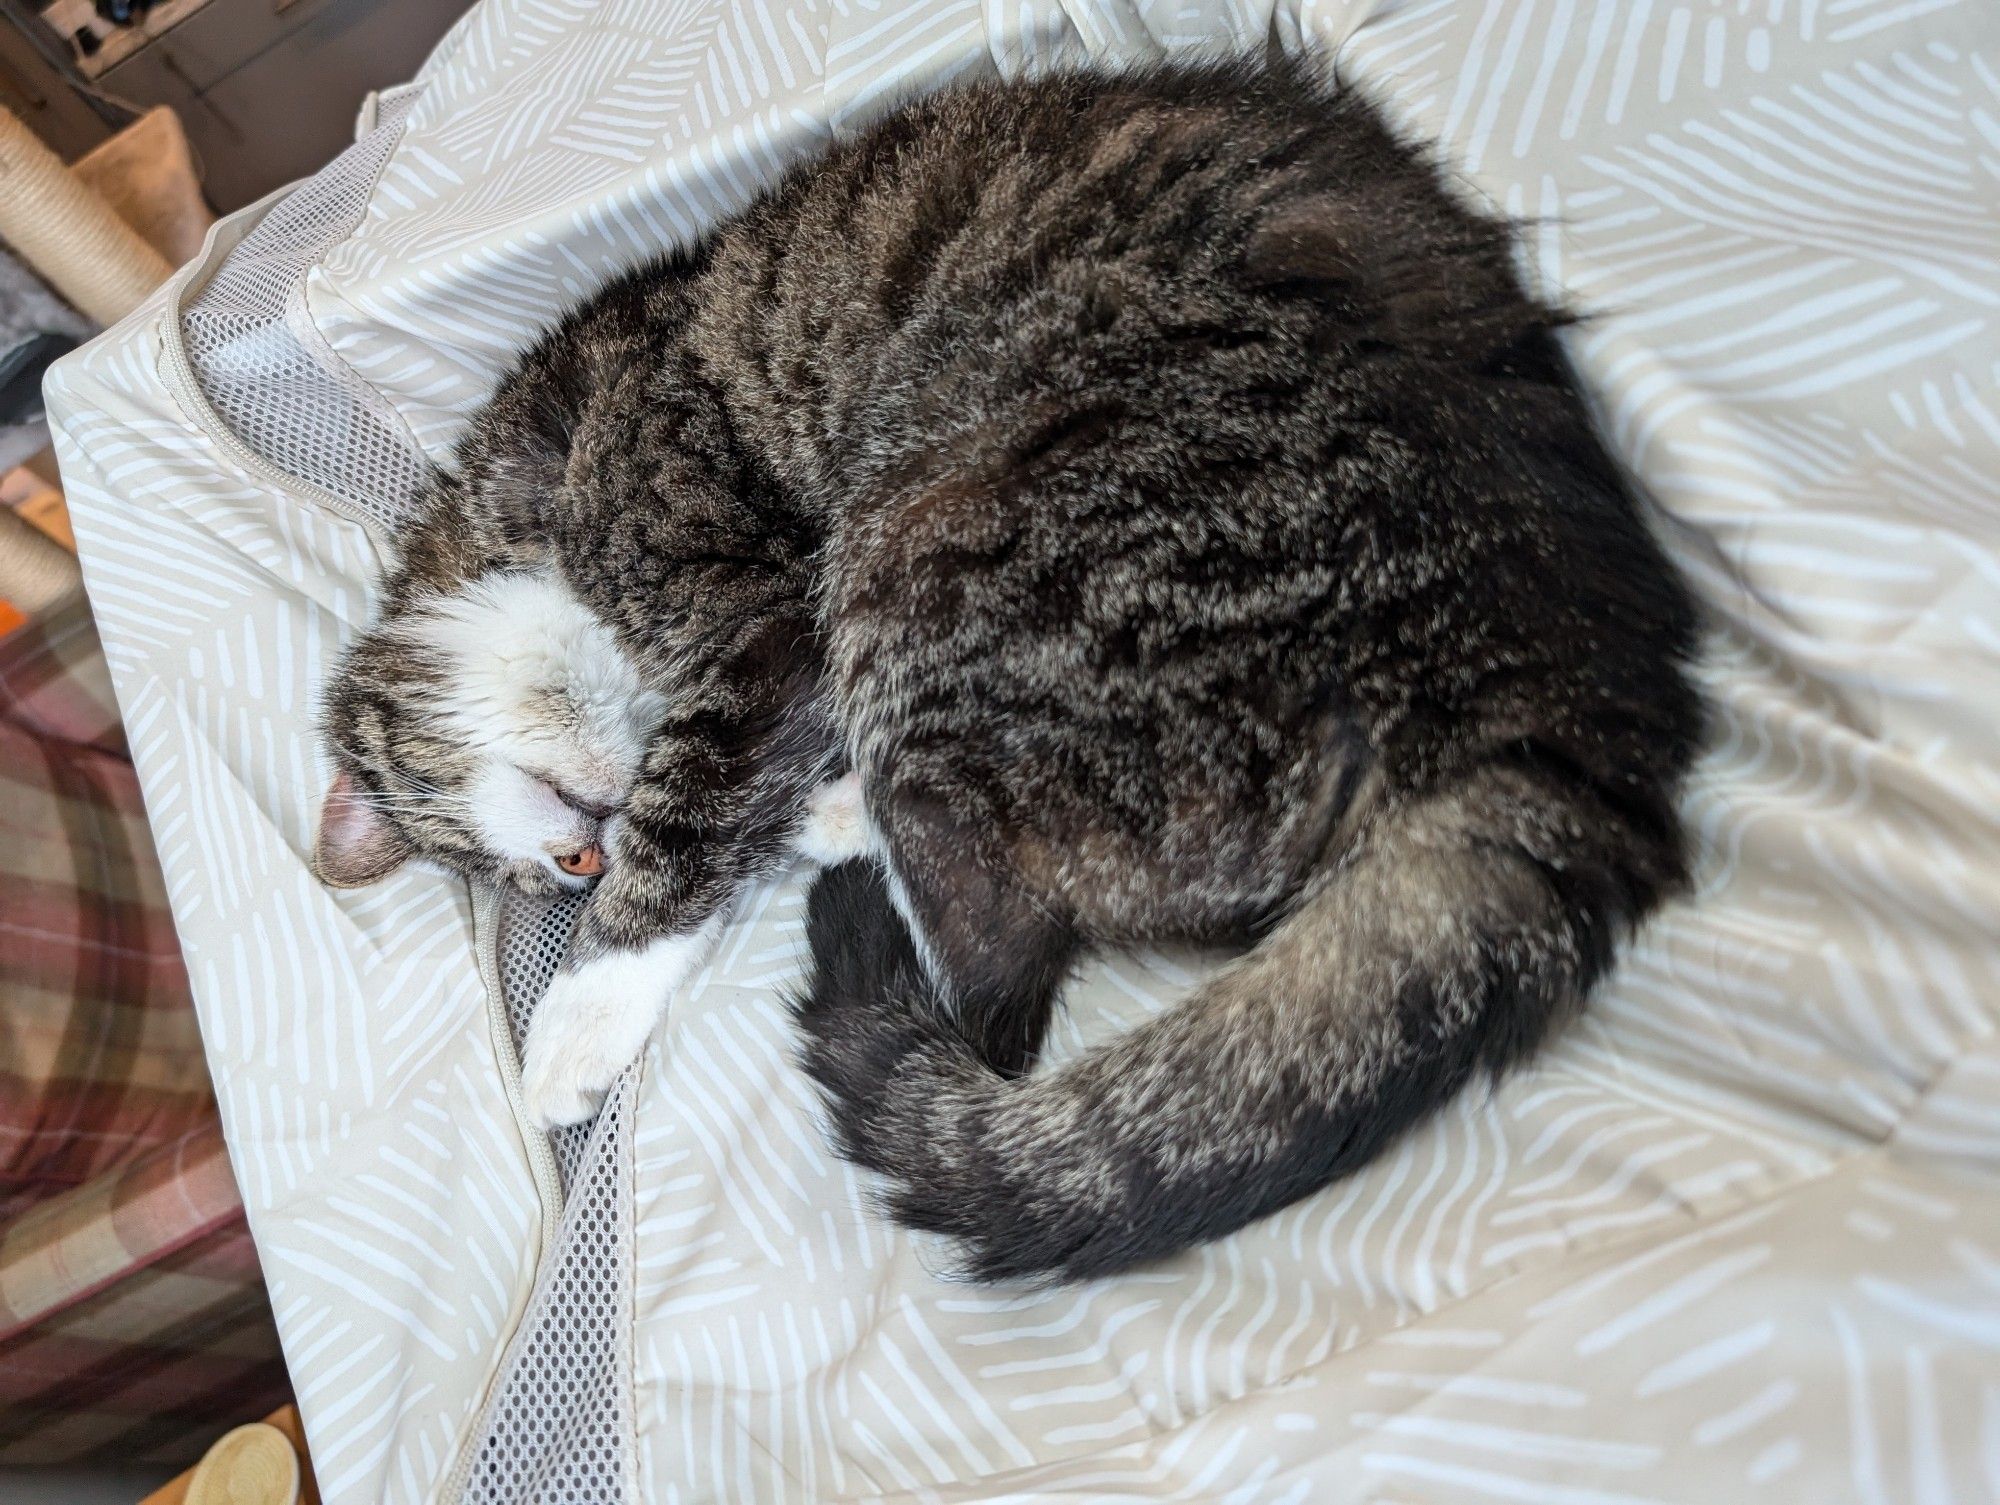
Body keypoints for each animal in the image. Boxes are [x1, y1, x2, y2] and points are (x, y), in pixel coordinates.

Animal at [316, 55, 1704, 1280]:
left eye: (556, 876)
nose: (578, 853)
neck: (513, 507)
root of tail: (1571, 704)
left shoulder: (753, 616)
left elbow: (689, 822)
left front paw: (579, 1016)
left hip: (915, 537)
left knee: (1000, 989)